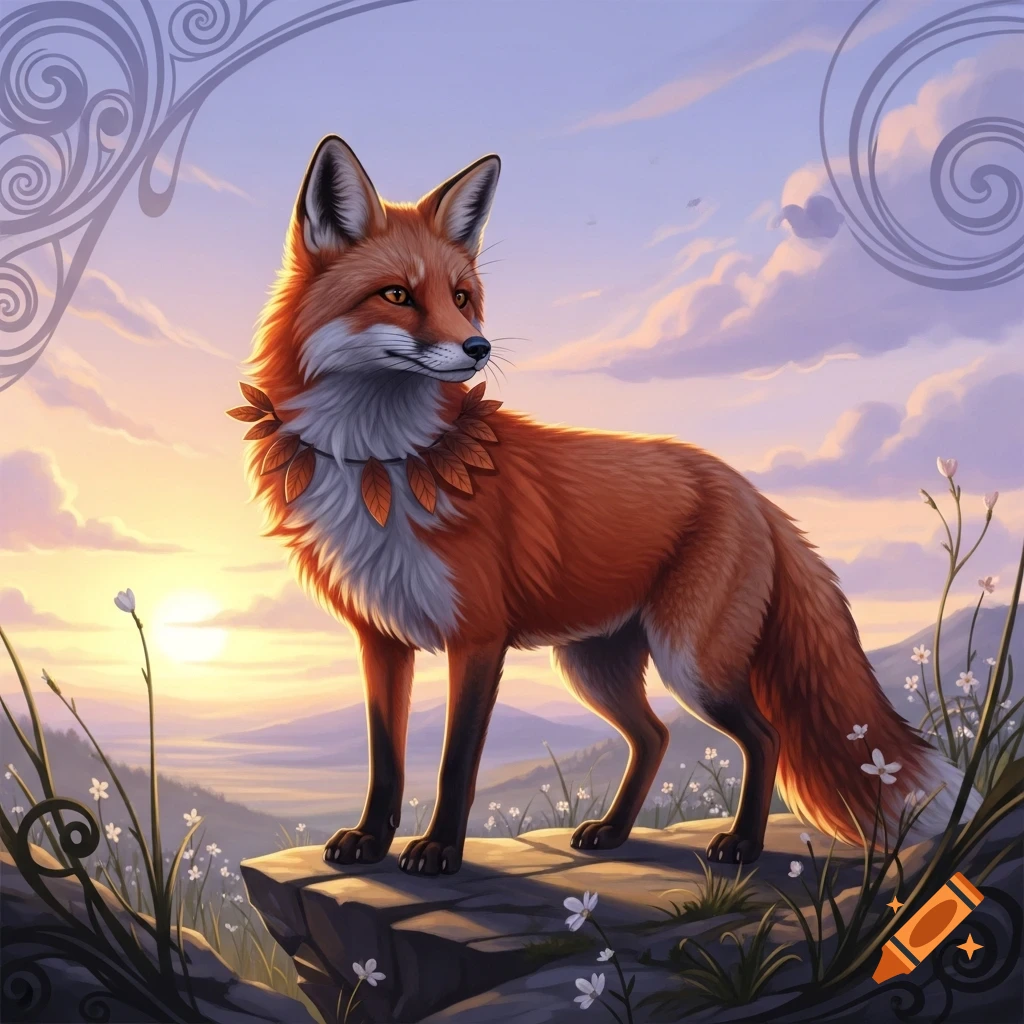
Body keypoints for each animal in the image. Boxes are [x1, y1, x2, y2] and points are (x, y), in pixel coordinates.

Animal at [240, 135, 980, 876]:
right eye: (396, 295)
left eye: (462, 298)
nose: (479, 347)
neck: (387, 465)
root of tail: (747, 488)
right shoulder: (381, 638)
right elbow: (385, 760)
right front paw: (370, 839)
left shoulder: (478, 637)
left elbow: (456, 764)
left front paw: (440, 849)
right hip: (595, 666)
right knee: (653, 736)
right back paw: (615, 831)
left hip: (691, 664)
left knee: (762, 735)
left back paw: (740, 843)